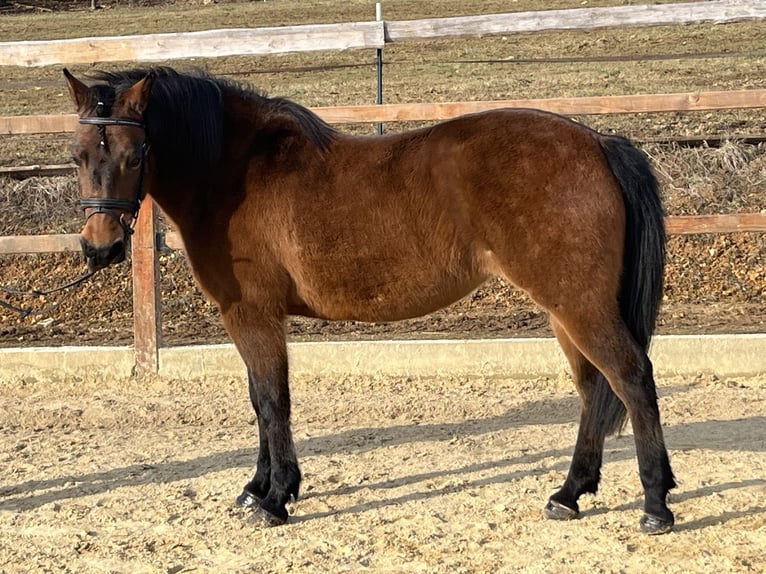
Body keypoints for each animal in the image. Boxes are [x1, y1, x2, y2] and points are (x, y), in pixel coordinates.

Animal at [66, 66, 680, 536]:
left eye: (136, 152)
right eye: (77, 154)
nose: (101, 248)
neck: (234, 171)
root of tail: (597, 143)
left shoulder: (253, 315)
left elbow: (272, 401)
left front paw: (275, 499)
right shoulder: (250, 319)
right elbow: (258, 401)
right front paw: (257, 488)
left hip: (579, 305)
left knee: (631, 378)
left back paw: (655, 506)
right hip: (565, 311)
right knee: (594, 389)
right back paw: (569, 493)